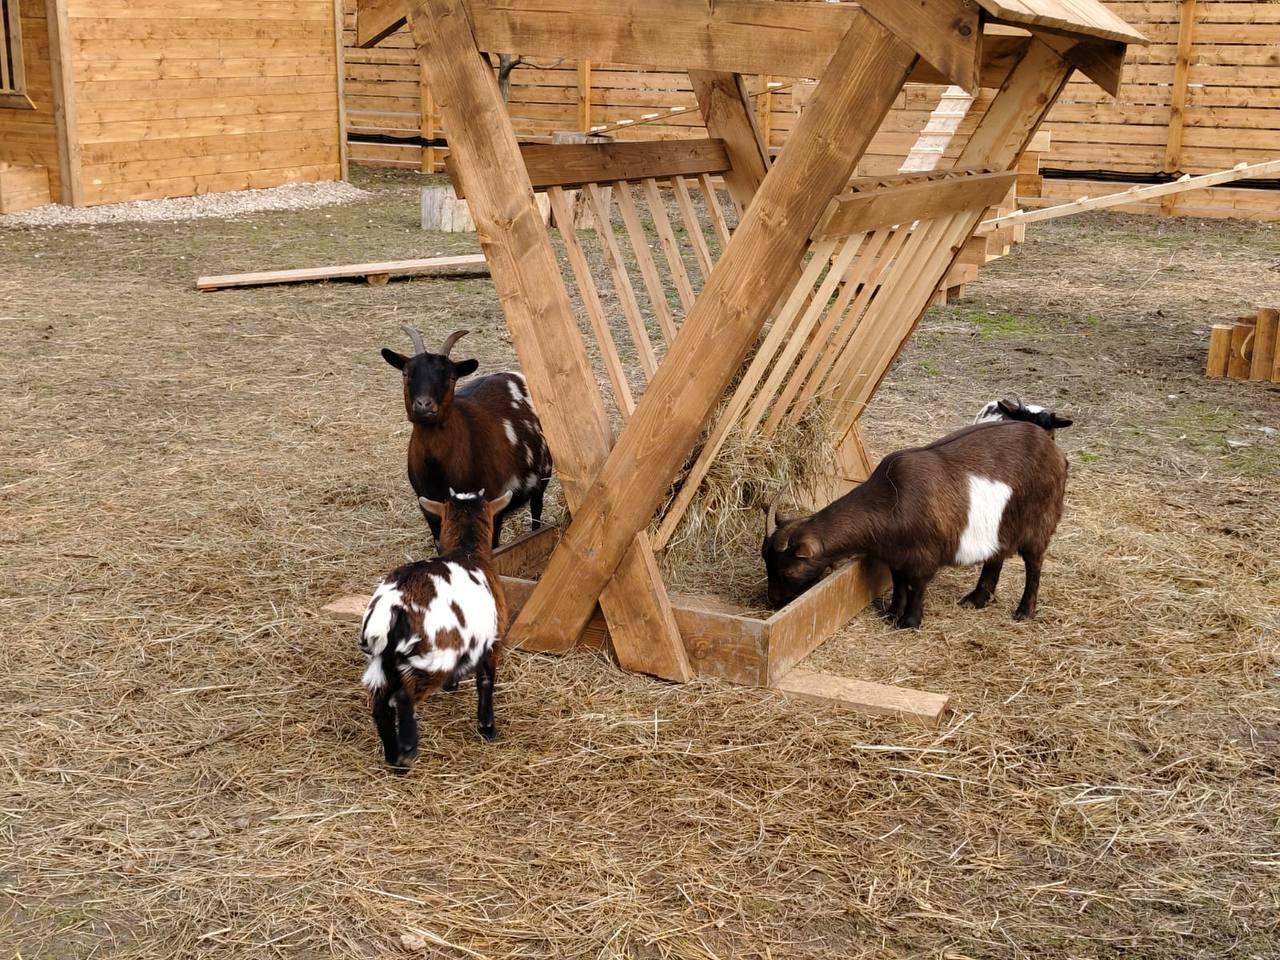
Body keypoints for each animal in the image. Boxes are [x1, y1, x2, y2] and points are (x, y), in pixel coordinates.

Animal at [376, 327, 552, 547]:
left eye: (452, 377)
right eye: (405, 373)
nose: (424, 405)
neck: (438, 472)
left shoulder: (494, 506)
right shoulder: (430, 511)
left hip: (542, 476)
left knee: (537, 513)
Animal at [757, 422, 1070, 632]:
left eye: (788, 571)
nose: (772, 601)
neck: (892, 499)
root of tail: (1053, 448)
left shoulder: (925, 556)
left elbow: (918, 585)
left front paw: (909, 621)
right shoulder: (895, 555)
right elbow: (899, 583)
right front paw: (892, 613)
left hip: (1039, 523)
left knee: (1034, 564)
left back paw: (1024, 611)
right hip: (1002, 525)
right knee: (996, 556)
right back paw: (976, 599)